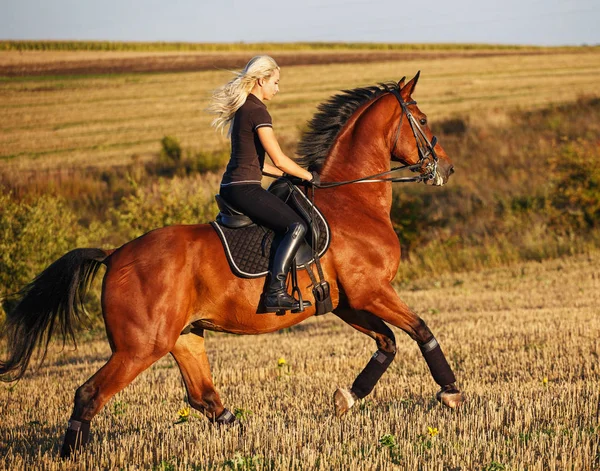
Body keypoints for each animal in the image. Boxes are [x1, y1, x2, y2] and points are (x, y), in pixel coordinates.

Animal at [0, 72, 464, 460]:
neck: (354, 201)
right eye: (422, 119)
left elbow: (387, 343)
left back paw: (251, 438)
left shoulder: (348, 301)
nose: (446, 167)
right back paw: (69, 456)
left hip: (184, 336)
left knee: (204, 398)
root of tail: (114, 256)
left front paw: (347, 398)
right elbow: (421, 330)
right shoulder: (372, 291)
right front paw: (451, 392)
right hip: (140, 347)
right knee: (90, 394)